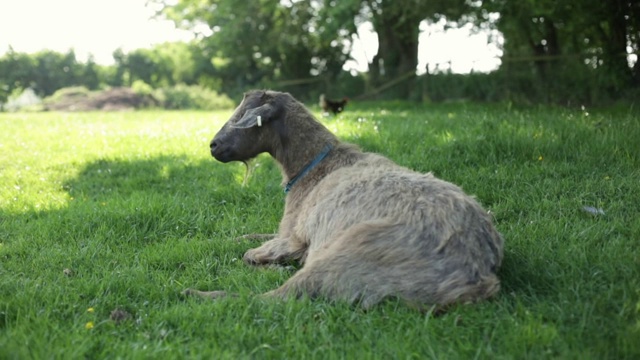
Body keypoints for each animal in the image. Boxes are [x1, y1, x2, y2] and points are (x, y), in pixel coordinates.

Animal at [185, 90, 504, 310]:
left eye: (244, 117)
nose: (213, 146)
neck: (316, 167)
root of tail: (475, 274)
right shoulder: (285, 231)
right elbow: (244, 237)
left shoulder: (294, 236)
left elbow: (249, 253)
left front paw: (272, 263)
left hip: (349, 253)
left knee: (276, 297)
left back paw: (197, 294)